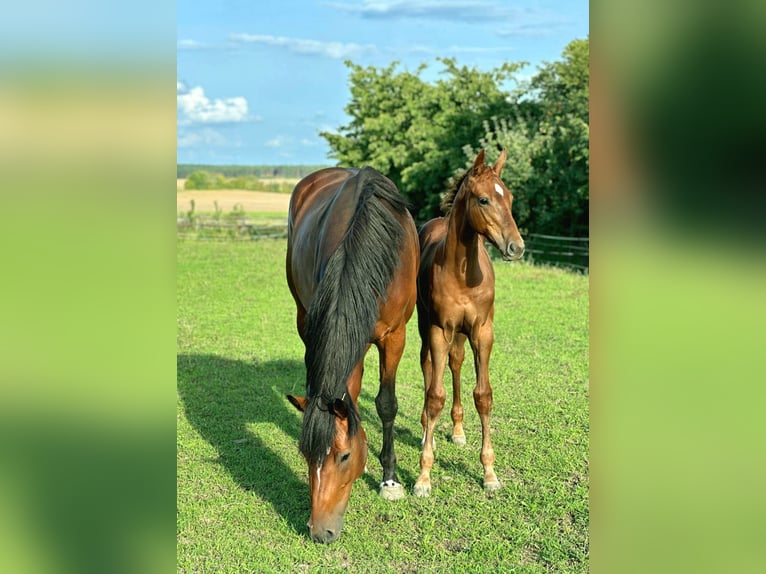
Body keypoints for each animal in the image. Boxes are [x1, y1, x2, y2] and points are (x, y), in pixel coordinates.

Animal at [285, 166, 419, 543]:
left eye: (344, 457)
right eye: (305, 455)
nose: (320, 532)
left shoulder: (394, 336)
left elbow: (386, 404)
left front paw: (390, 480)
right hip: (303, 315)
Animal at [413, 149, 524, 497]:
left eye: (510, 197)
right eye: (484, 200)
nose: (517, 247)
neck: (463, 273)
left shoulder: (482, 332)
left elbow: (483, 395)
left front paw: (489, 473)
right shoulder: (440, 330)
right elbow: (435, 395)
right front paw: (423, 477)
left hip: (462, 336)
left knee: (456, 362)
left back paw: (458, 430)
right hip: (426, 326)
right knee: (428, 366)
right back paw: (427, 430)